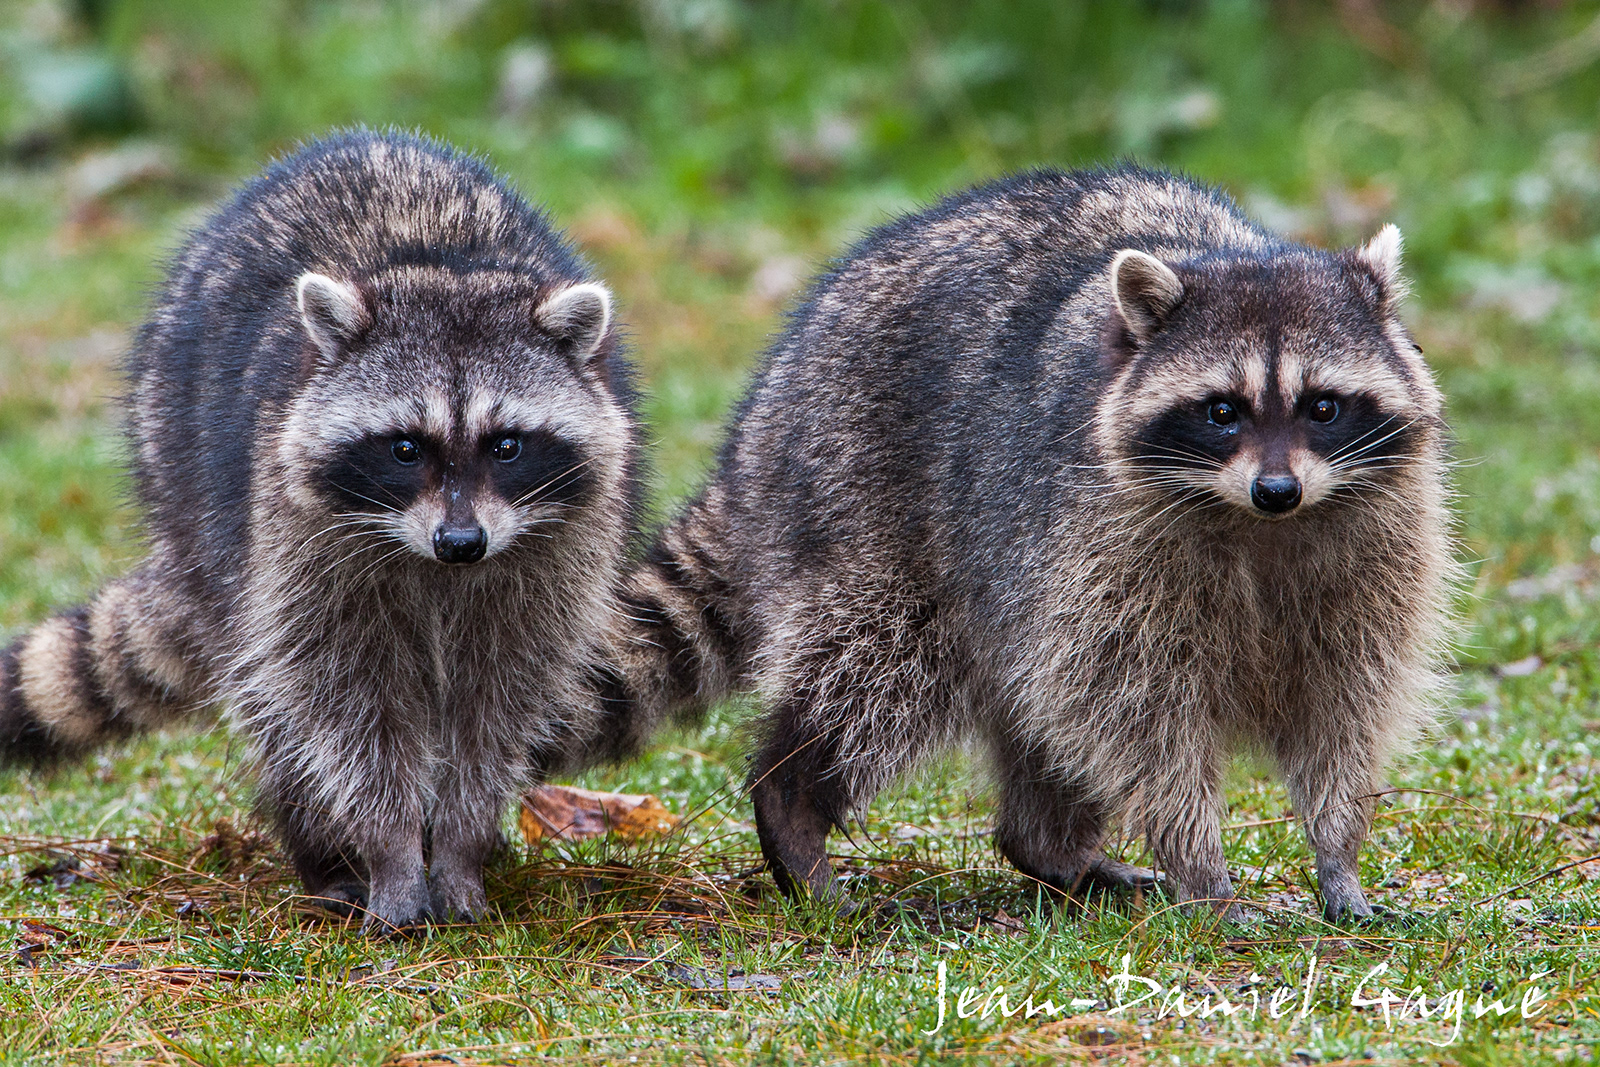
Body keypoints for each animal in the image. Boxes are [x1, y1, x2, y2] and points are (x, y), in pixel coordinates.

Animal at [0, 130, 644, 933]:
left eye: (507, 445)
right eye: (405, 448)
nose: (461, 544)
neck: (440, 269)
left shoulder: (557, 554)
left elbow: (498, 703)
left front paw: (460, 846)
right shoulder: (299, 539)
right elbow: (344, 708)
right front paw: (392, 853)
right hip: (183, 478)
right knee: (272, 693)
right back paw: (324, 855)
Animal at [610, 166, 1453, 920]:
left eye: (1322, 406)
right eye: (1222, 411)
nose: (1276, 489)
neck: (1258, 524)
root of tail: (761, 414)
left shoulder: (1378, 554)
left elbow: (1344, 706)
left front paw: (1337, 849)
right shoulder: (1102, 542)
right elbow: (1147, 721)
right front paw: (1200, 863)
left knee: (1039, 714)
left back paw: (1048, 847)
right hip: (864, 502)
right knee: (875, 670)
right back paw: (793, 801)